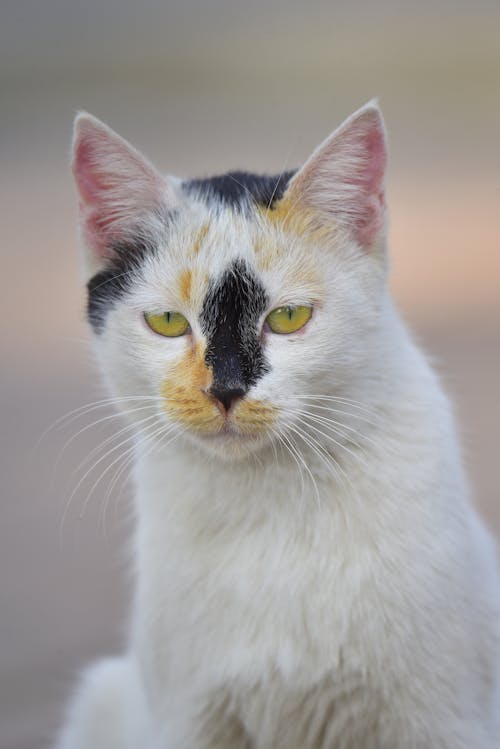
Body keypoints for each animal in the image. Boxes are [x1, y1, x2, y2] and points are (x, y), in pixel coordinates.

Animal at [54, 101, 500, 748]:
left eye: (288, 317)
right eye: (167, 322)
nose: (225, 390)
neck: (268, 504)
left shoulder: (439, 719)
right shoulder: (190, 719)